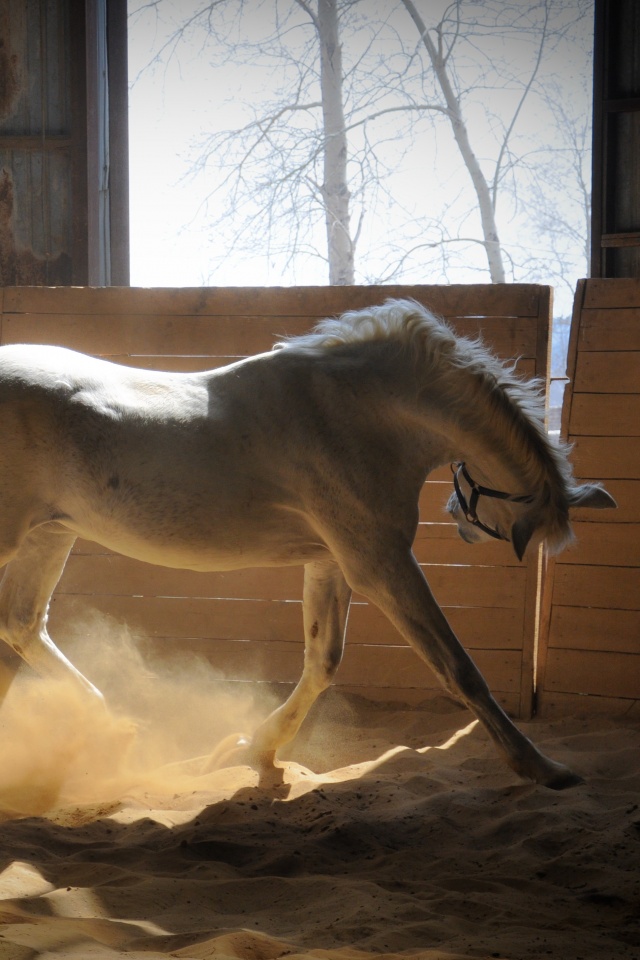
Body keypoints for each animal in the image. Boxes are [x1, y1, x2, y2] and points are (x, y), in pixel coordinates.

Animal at [0, 298, 612, 788]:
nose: (462, 523)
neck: (356, 413)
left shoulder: (331, 563)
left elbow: (323, 662)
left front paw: (256, 748)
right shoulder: (379, 562)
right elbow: (458, 669)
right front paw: (542, 768)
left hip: (49, 535)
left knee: (21, 626)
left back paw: (111, 728)